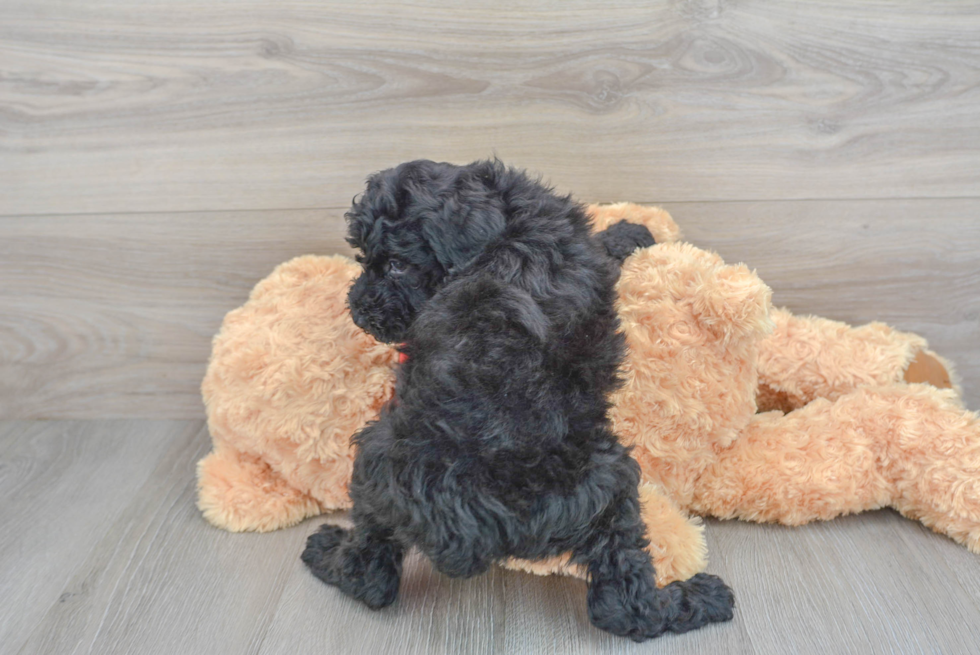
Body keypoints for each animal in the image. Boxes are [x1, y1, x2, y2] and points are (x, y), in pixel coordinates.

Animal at [302, 161, 732, 644]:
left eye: (396, 265)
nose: (357, 310)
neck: (506, 228)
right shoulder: (582, 252)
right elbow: (602, 248)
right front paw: (633, 228)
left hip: (380, 463)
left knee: (371, 574)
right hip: (608, 486)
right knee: (624, 602)